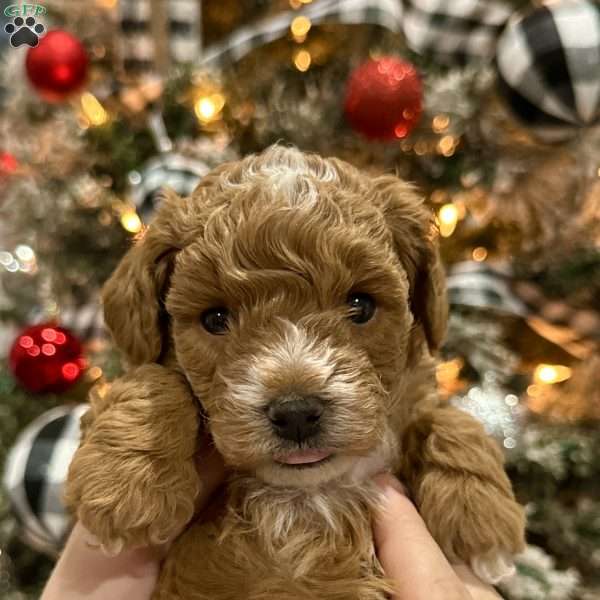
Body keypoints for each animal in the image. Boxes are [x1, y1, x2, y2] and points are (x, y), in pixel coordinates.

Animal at [67, 145, 524, 600]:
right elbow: (152, 379)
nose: (296, 413)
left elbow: (446, 417)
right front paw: (125, 489)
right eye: (215, 318)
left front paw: (480, 512)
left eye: (361, 305)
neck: (305, 492)